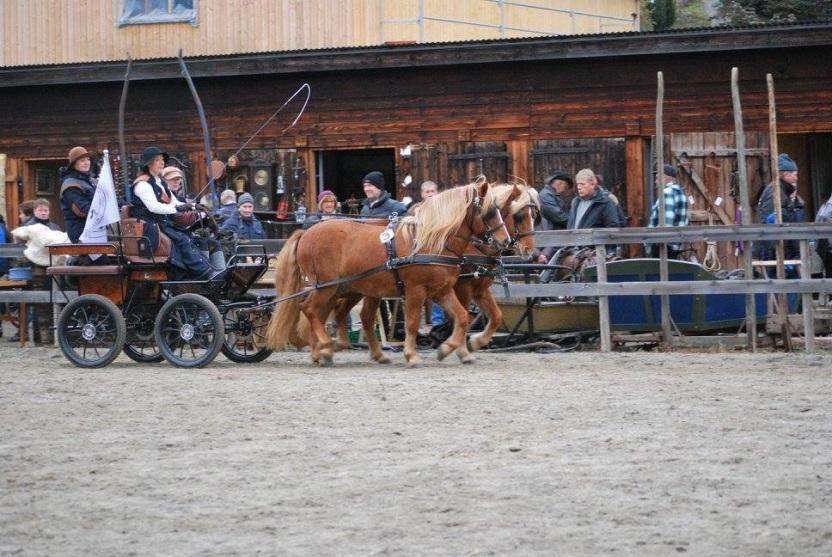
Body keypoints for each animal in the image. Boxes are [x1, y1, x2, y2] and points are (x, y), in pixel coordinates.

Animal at [266, 181, 512, 364]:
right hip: (327, 286)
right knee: (309, 310)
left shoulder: (441, 290)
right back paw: (326, 345)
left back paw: (326, 351)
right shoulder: (417, 290)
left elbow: (463, 316)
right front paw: (412, 355)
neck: (430, 243)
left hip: (344, 288)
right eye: (490, 211)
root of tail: (306, 233)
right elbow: (413, 322)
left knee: (334, 313)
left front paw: (448, 348)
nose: (506, 241)